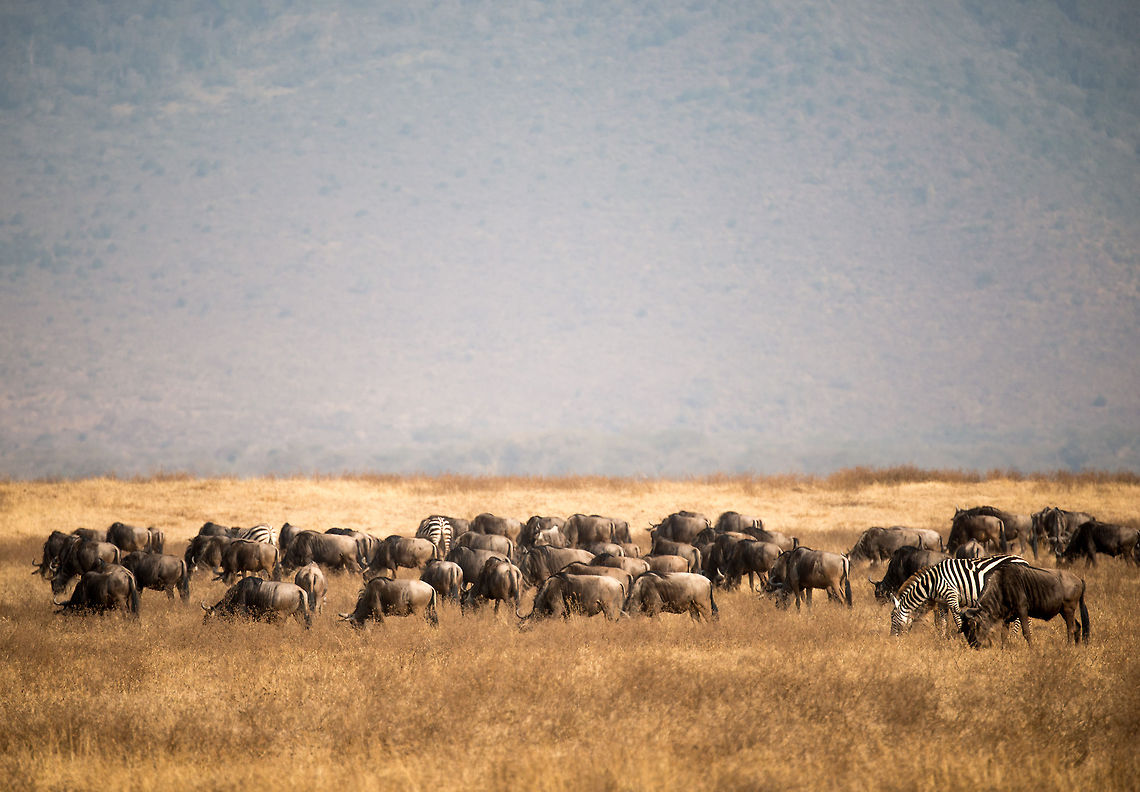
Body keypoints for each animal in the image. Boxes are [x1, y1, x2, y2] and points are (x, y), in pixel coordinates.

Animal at [890, 555, 1029, 636]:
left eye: (892, 617)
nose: (891, 641)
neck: (931, 583)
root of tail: (1024, 561)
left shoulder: (951, 595)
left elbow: (957, 619)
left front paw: (962, 638)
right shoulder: (942, 602)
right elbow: (943, 622)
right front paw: (942, 641)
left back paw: (1013, 637)